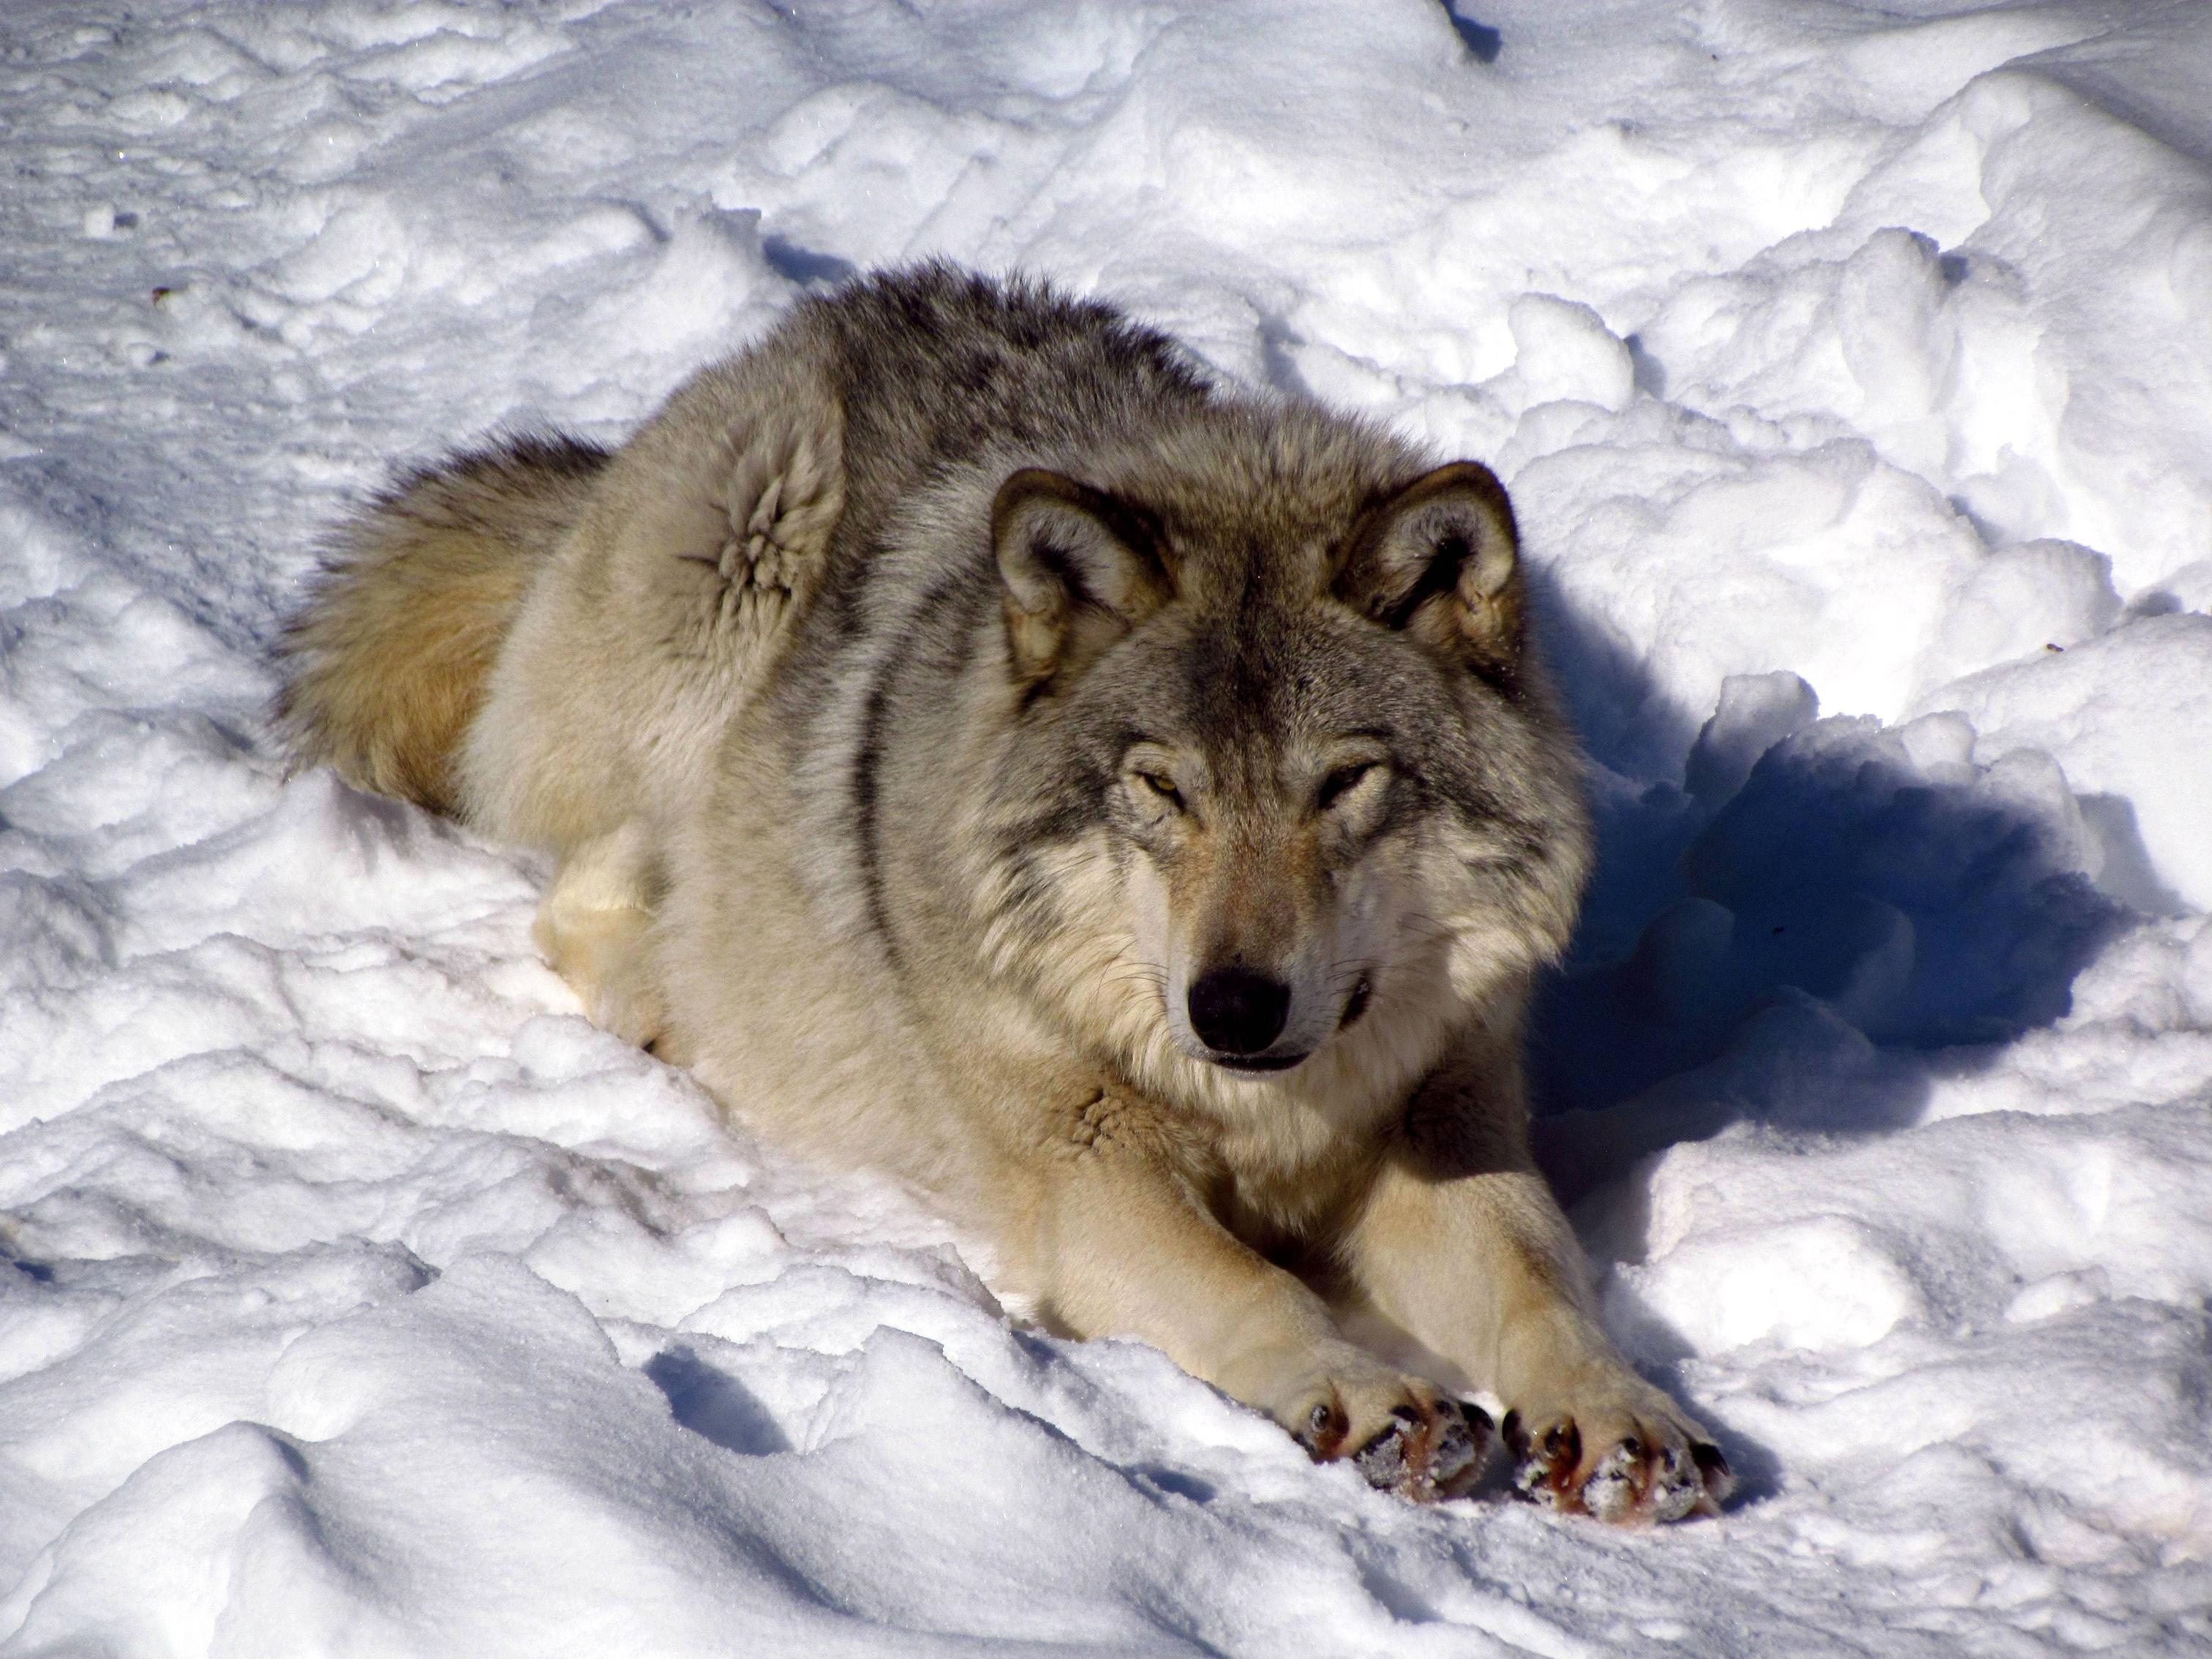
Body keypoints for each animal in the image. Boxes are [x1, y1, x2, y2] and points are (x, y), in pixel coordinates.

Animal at [276, 266, 1725, 1530]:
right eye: (1162, 787)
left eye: (1343, 783)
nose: (1232, 1008)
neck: (1263, 1115)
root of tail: (824, 317)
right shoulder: (1085, 1175)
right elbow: (1250, 1285)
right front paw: (1365, 1391)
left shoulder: (1445, 1122)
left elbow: (1541, 1284)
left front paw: (1620, 1415)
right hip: (737, 571)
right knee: (582, 899)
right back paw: (682, 1008)